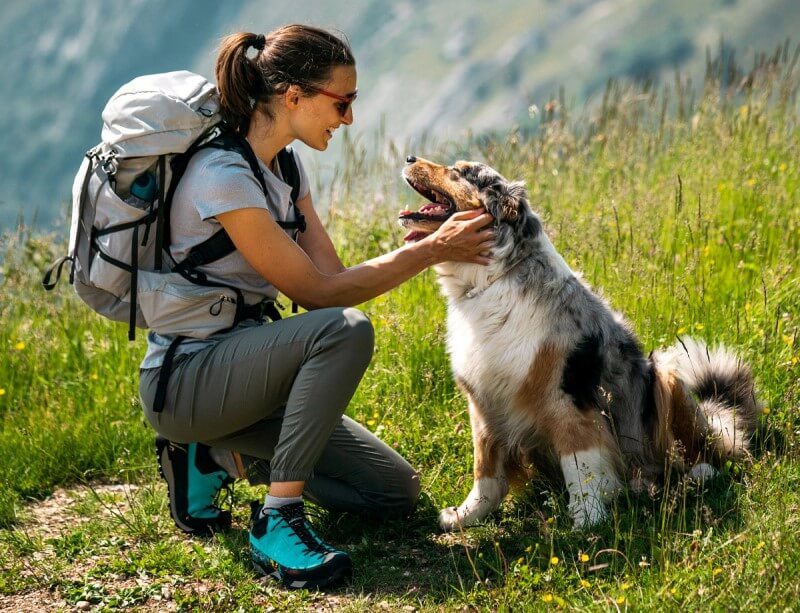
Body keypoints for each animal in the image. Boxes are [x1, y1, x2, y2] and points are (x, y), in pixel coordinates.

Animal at [400, 155, 764, 528]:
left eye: (460, 172)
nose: (410, 158)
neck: (493, 278)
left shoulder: (566, 395)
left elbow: (580, 461)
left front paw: (586, 516)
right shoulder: (483, 401)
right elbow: (485, 469)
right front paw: (467, 514)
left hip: (666, 374)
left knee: (702, 450)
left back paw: (693, 473)